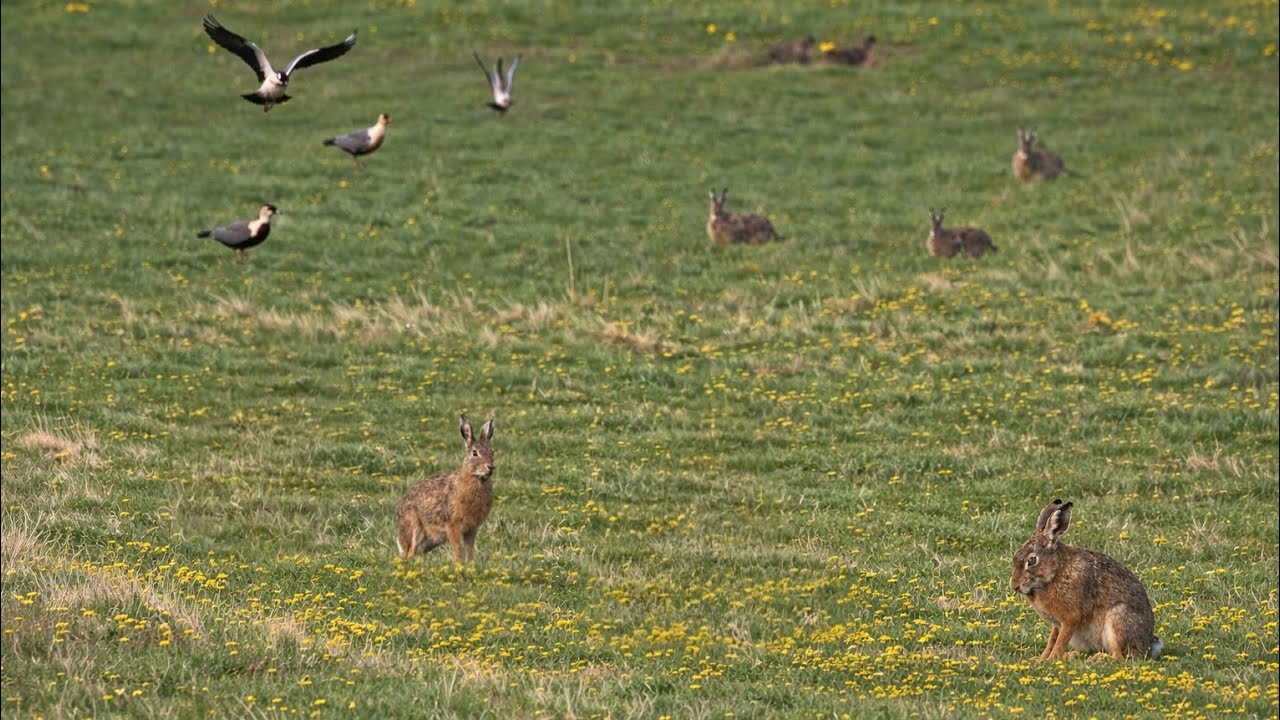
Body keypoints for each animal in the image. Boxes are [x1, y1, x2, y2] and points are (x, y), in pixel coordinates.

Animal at [395, 414, 497, 563]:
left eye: (492, 452)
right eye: (475, 453)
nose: (490, 467)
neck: (476, 479)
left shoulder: (472, 529)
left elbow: (469, 549)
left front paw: (470, 564)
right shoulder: (452, 526)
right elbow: (458, 549)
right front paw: (459, 564)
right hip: (414, 527)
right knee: (410, 552)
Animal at [1011, 499, 1163, 660]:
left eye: (1032, 561)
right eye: (1015, 556)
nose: (1014, 586)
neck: (1055, 573)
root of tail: (1148, 646)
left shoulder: (1070, 619)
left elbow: (1060, 641)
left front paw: (1052, 659)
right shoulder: (1057, 624)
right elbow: (1052, 640)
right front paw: (1040, 659)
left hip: (1118, 619)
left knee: (1119, 655)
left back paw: (1097, 660)